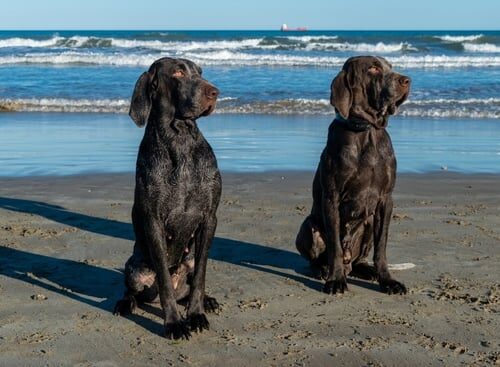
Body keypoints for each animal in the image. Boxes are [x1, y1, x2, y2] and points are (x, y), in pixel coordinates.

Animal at [115, 56, 223, 340]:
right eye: (177, 73)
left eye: (200, 72)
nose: (214, 92)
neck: (180, 140)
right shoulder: (154, 222)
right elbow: (163, 280)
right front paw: (174, 323)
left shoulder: (209, 218)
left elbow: (200, 277)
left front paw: (196, 314)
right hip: (135, 267)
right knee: (132, 290)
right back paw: (124, 303)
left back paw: (207, 300)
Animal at [296, 55, 410, 296]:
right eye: (373, 68)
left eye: (390, 67)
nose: (406, 80)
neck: (366, 131)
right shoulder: (332, 198)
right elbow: (335, 247)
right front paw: (335, 280)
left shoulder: (386, 200)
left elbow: (381, 247)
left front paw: (388, 281)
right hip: (308, 226)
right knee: (318, 257)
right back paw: (322, 270)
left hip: (368, 223)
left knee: (360, 259)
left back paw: (366, 270)